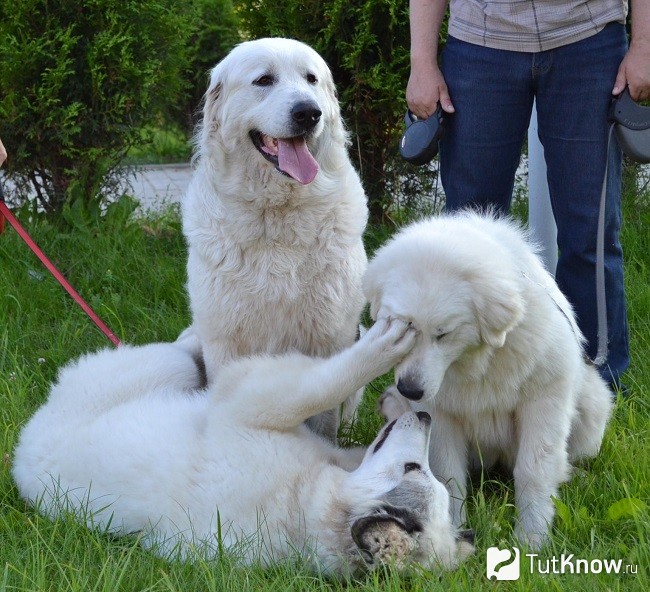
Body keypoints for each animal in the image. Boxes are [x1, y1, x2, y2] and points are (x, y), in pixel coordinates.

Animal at [12, 322, 474, 576]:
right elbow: (333, 403)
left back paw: (192, 338)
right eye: (416, 468)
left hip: (154, 370)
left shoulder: (247, 400)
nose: (425, 417)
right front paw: (394, 390)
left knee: (177, 353)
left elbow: (320, 385)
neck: (303, 502)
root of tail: (19, 457)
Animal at [180, 37, 368, 438]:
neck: (276, 215)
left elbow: (325, 418)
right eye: (264, 80)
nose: (309, 113)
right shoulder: (224, 341)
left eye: (311, 79)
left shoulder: (330, 338)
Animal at [362, 213, 612, 552]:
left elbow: (534, 469)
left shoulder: (544, 400)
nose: (409, 389)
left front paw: (532, 540)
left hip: (592, 404)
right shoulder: (439, 413)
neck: (474, 361)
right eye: (402, 328)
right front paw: (453, 531)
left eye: (443, 334)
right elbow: (447, 474)